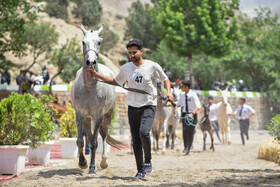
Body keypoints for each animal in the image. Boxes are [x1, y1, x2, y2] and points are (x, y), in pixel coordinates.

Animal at [71, 24, 123, 174]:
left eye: (99, 42)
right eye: (83, 42)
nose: (91, 62)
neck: (89, 87)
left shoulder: (99, 115)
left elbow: (94, 142)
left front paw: (92, 168)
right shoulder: (80, 114)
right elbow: (80, 141)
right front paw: (82, 163)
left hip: (107, 115)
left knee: (104, 135)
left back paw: (104, 162)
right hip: (88, 118)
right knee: (88, 136)